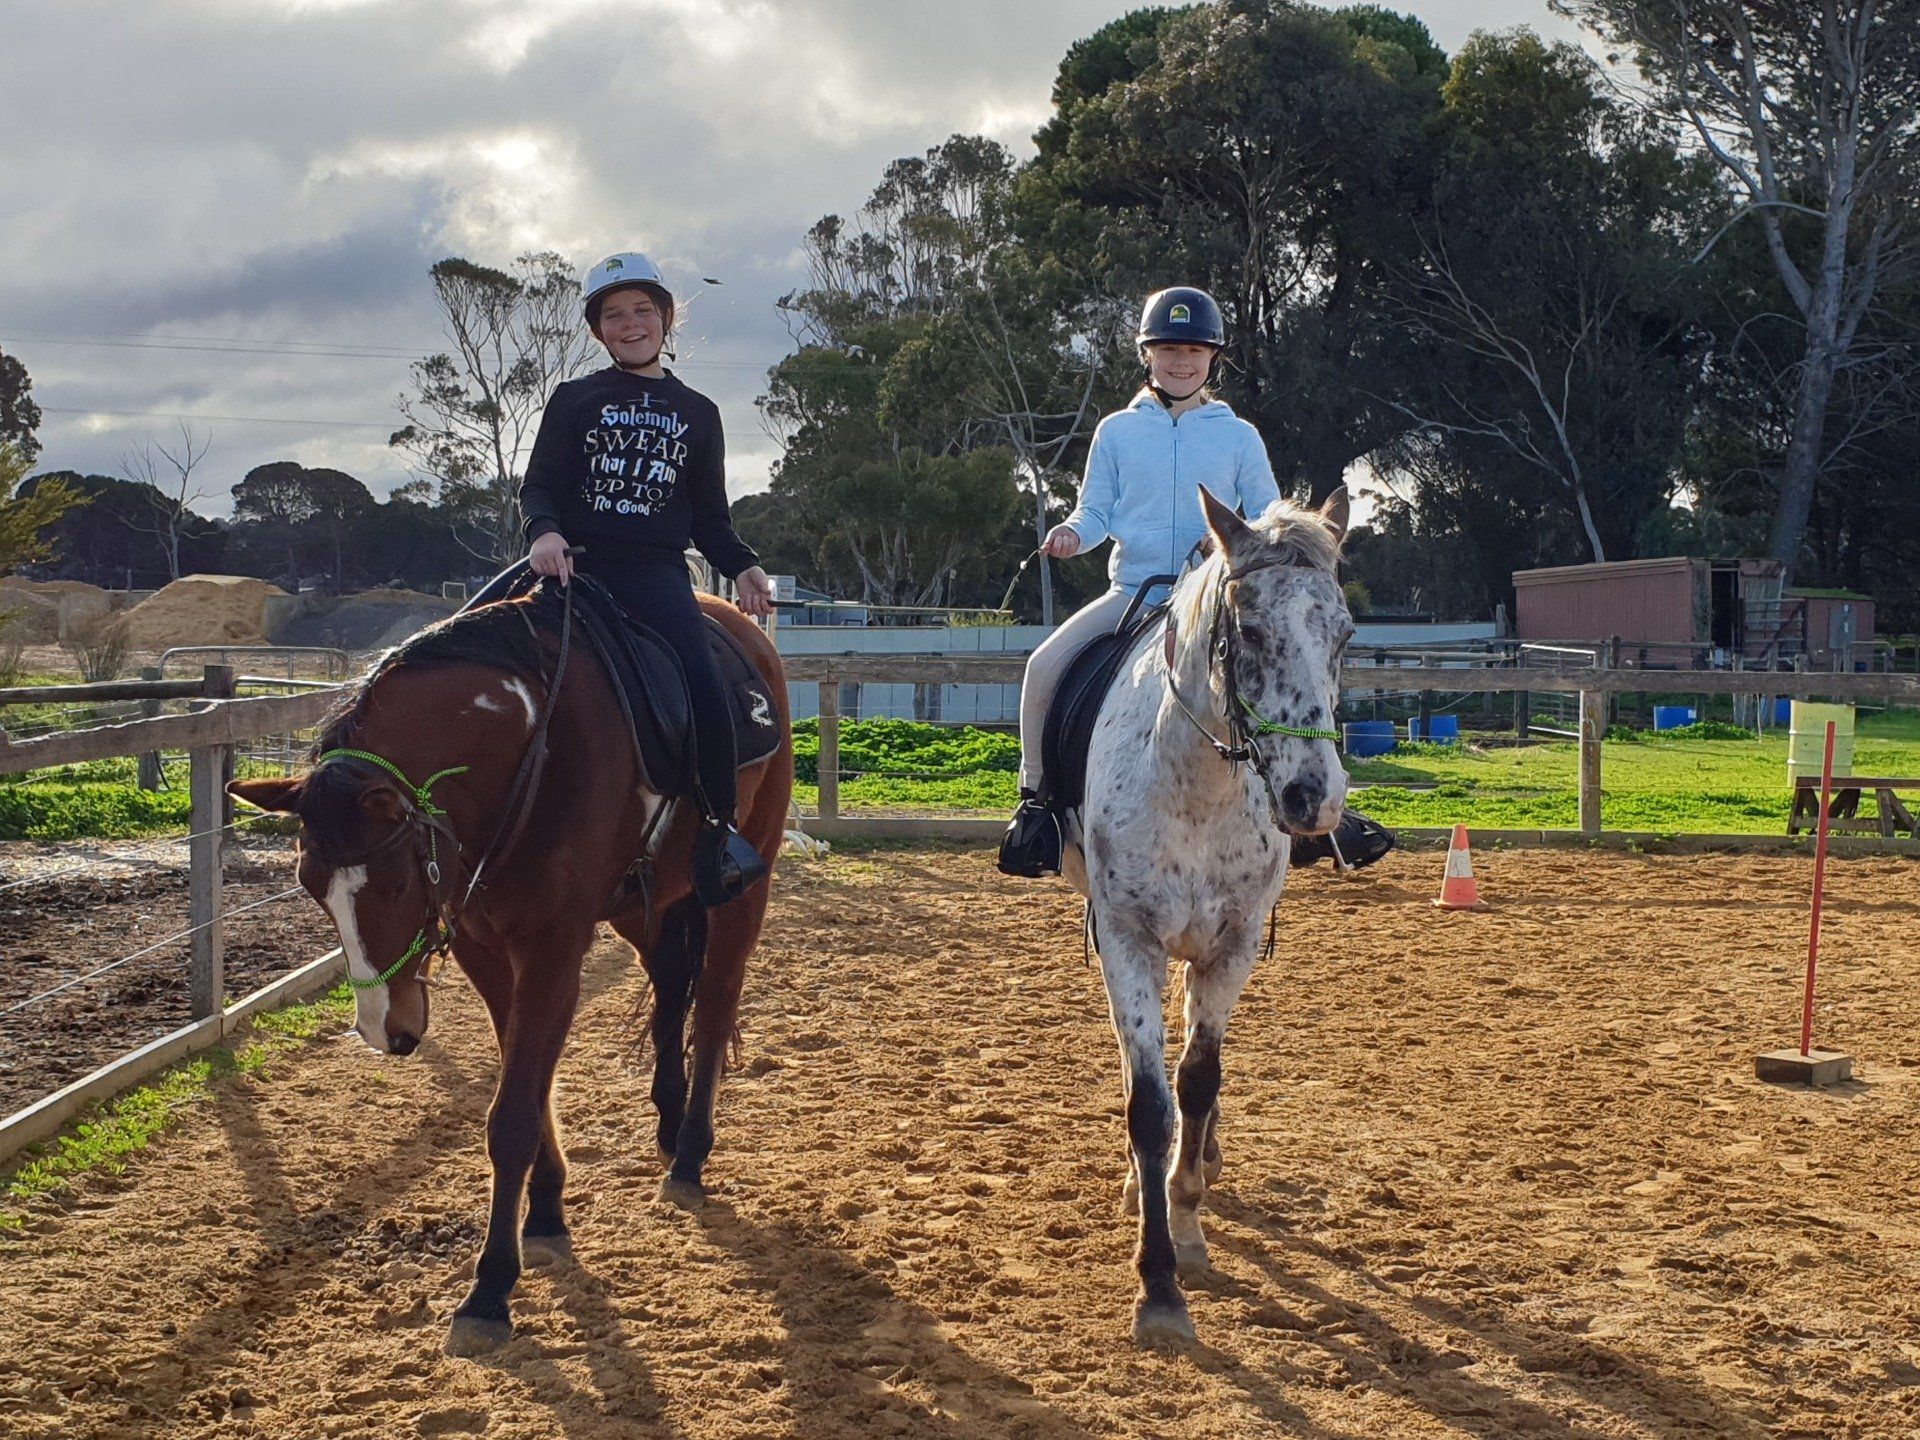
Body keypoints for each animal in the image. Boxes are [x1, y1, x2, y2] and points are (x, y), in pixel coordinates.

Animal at [228, 581, 793, 1357]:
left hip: (741, 885)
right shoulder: (484, 947)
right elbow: (527, 1085)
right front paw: (547, 1211)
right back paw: (670, 1121)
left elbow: (515, 1113)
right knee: (672, 990)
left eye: (394, 884)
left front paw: (491, 1287)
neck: (532, 751)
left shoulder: (553, 951)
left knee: (711, 1004)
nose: (385, 1029)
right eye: (311, 886)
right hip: (645, 906)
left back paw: (689, 1155)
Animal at [1060, 486, 1352, 1346]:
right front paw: (1158, 1282)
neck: (1200, 788)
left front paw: (1187, 1220)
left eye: (1345, 635)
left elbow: (1198, 1080)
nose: (1313, 798)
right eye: (1249, 630)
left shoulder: (1234, 946)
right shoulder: (1129, 940)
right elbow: (1151, 1103)